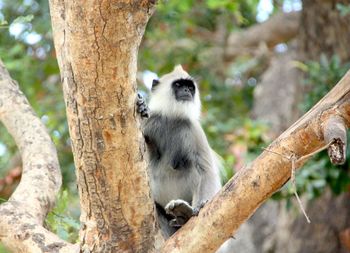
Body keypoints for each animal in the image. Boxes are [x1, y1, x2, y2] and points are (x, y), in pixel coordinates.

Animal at [137, 65, 221, 237]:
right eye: (178, 85)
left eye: (190, 87)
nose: (187, 91)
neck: (172, 117)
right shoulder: (150, 121)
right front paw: (142, 106)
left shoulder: (194, 129)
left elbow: (206, 170)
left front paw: (200, 206)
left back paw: (184, 214)